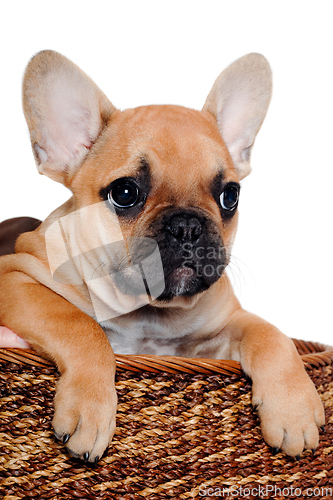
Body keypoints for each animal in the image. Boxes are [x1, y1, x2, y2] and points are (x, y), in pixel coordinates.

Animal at [0, 48, 322, 462]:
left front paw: (294, 410)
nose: (187, 225)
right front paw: (90, 409)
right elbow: (79, 325)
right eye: (124, 192)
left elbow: (270, 333)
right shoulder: (15, 277)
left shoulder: (220, 329)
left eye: (230, 196)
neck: (147, 314)